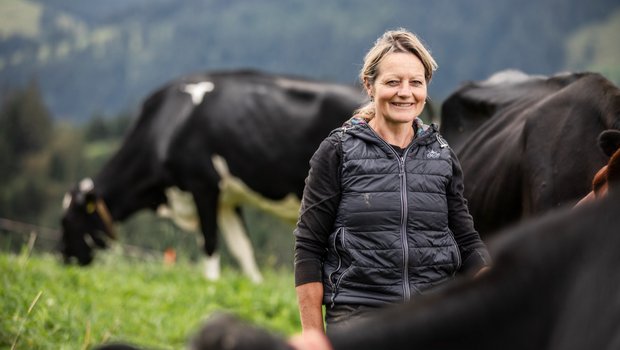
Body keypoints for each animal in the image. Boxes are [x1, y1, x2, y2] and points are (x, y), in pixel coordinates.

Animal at [60, 69, 366, 284]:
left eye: (70, 221)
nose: (64, 261)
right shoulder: (228, 199)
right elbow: (242, 247)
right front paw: (254, 285)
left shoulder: (203, 185)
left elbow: (209, 243)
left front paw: (211, 285)